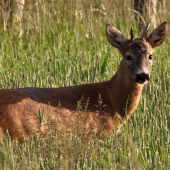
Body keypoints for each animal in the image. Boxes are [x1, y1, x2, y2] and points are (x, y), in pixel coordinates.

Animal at [0, 22, 168, 142]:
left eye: (150, 56)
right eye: (128, 56)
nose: (142, 75)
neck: (112, 102)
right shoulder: (101, 133)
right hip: (21, 131)